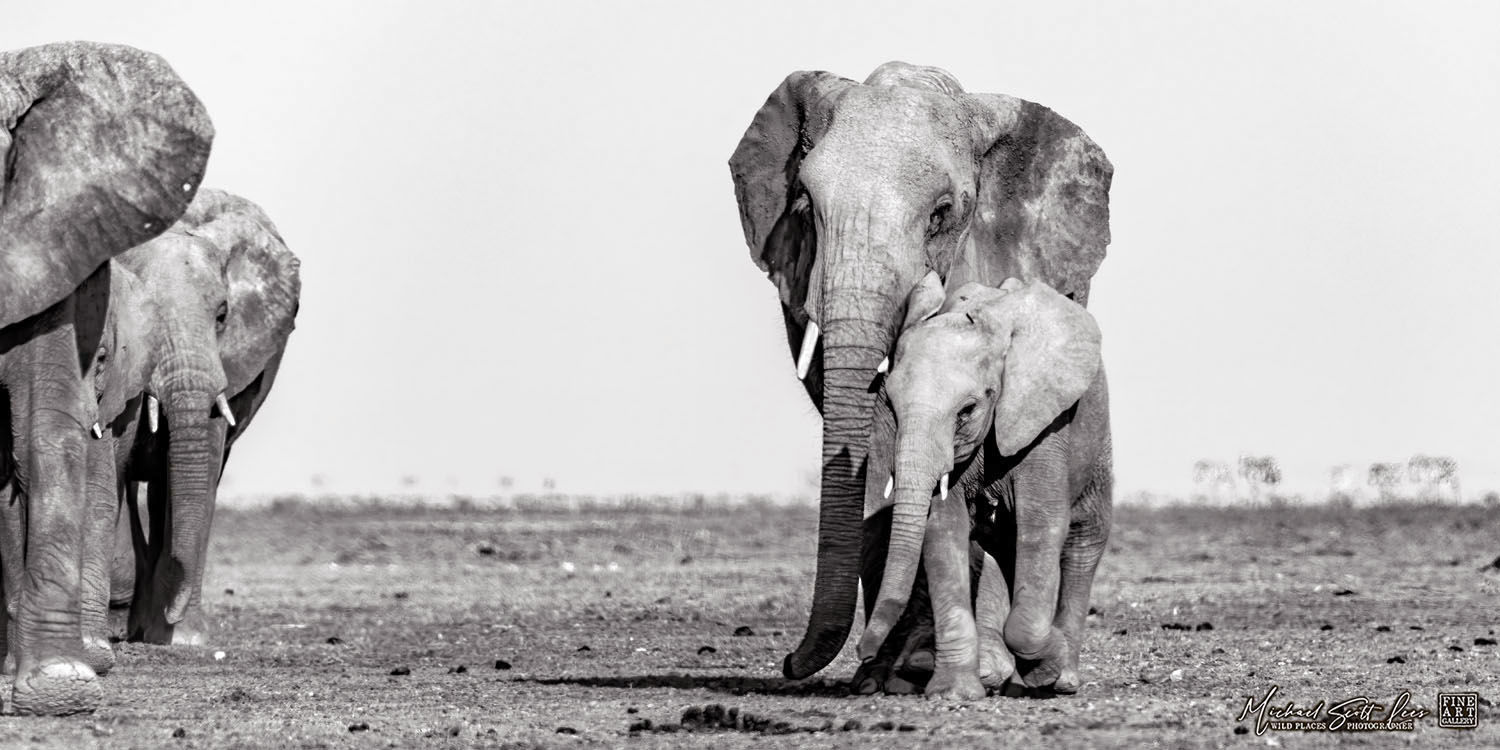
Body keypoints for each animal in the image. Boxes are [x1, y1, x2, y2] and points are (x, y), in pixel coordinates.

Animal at [857, 274, 1110, 699]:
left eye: (968, 410)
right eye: (889, 405)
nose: (864, 652)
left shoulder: (1042, 420)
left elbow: (1042, 524)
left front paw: (1048, 666)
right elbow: (944, 533)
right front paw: (954, 693)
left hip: (1098, 441)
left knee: (1083, 539)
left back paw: (1063, 681)